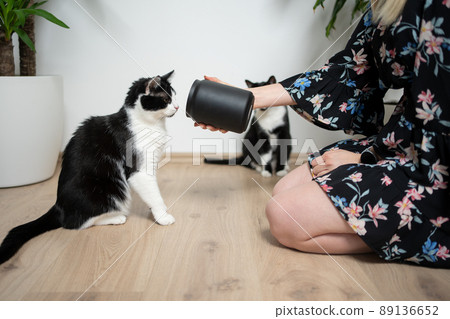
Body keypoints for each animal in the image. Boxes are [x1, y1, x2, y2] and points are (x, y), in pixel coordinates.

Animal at [0, 71, 179, 264]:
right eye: (166, 99)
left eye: (175, 96)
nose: (177, 106)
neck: (148, 123)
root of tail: (58, 206)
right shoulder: (140, 170)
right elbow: (154, 194)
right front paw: (163, 216)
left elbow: (152, 193)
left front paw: (153, 211)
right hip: (110, 190)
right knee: (75, 223)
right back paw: (116, 218)